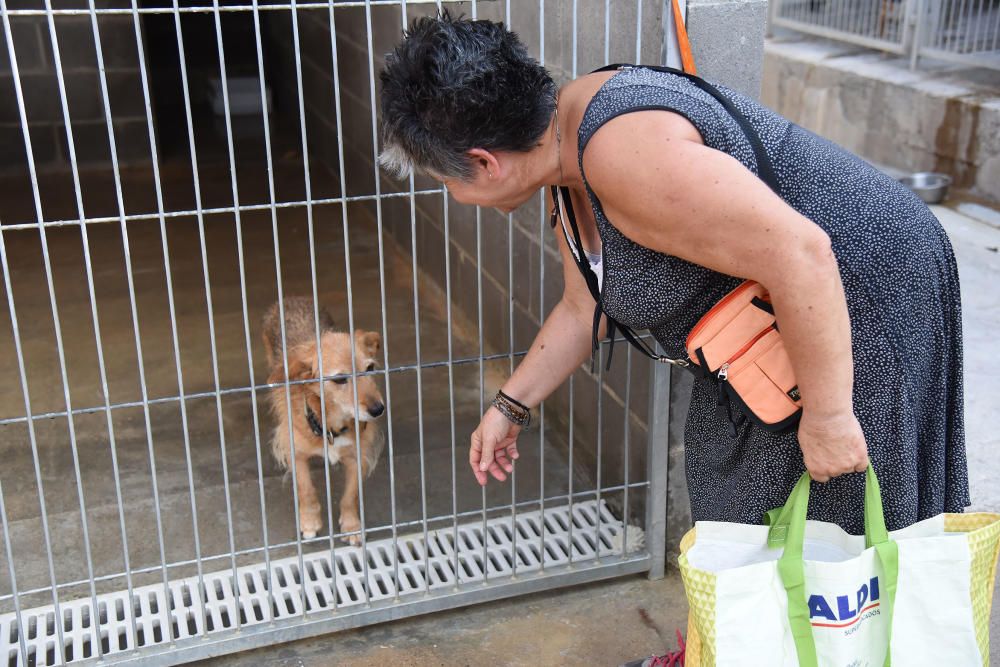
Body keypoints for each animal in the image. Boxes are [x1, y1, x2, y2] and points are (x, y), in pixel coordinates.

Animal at [262, 298, 386, 544]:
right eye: (340, 379)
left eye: (370, 368)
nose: (378, 409)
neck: (331, 423)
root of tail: (292, 298)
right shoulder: (295, 454)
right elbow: (306, 490)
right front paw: (310, 522)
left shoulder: (358, 457)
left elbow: (350, 495)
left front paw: (351, 525)